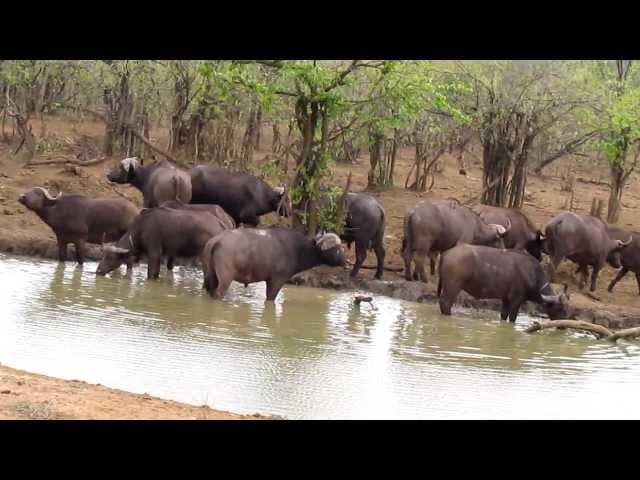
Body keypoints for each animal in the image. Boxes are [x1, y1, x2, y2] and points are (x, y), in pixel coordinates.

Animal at [97, 205, 230, 278]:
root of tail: (220, 224)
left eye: (110, 257)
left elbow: (151, 275)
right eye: (102, 256)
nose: (98, 271)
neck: (142, 227)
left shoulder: (154, 253)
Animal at [202, 229, 348, 300]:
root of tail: (217, 240)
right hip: (225, 278)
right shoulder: (276, 281)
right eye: (337, 248)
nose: (345, 262)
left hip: (209, 274)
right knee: (218, 293)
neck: (297, 250)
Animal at [440, 244, 568, 322]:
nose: (563, 324)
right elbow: (512, 318)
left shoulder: (506, 299)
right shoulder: (516, 300)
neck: (532, 274)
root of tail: (446, 254)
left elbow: (503, 315)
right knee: (446, 303)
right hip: (453, 285)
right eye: (560, 308)